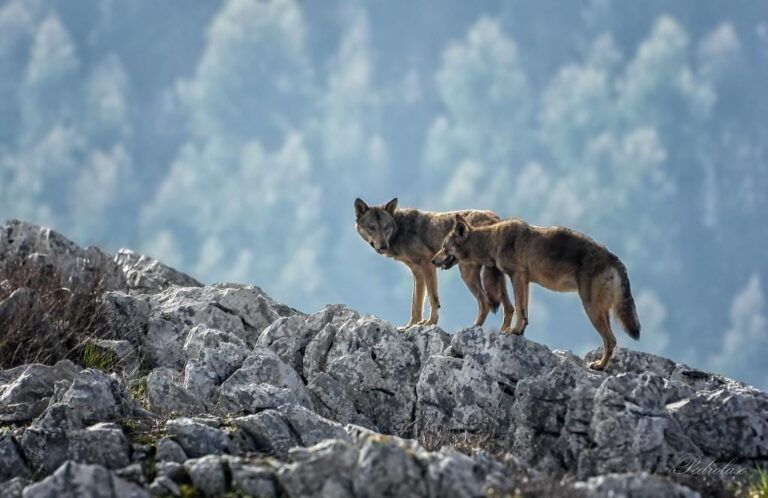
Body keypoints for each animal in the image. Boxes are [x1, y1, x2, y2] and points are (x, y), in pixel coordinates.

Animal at [354, 198, 514, 329]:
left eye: (386, 227)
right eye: (372, 227)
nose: (383, 246)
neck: (399, 230)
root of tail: (495, 218)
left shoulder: (427, 265)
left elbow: (432, 299)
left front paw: (430, 323)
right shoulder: (417, 272)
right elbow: (416, 303)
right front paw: (411, 326)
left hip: (466, 273)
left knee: (485, 302)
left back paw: (473, 328)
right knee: (509, 308)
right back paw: (504, 332)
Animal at [432, 214, 640, 370]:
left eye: (443, 247)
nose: (433, 261)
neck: (492, 241)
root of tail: (613, 257)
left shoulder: (517, 277)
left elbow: (518, 308)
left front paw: (512, 331)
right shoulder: (525, 281)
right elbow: (524, 311)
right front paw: (519, 332)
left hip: (591, 309)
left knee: (611, 340)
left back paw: (599, 366)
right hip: (601, 311)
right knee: (610, 340)